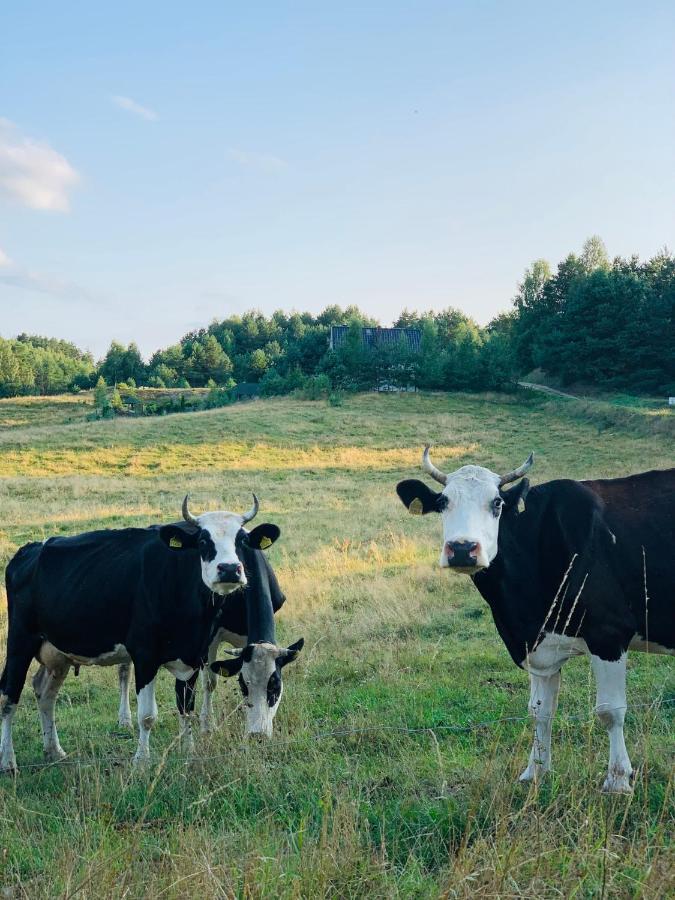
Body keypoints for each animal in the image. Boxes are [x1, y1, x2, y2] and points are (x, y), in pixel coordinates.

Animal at [0, 492, 304, 772]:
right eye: (203, 542)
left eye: (241, 540)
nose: (229, 569)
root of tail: (30, 549)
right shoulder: (146, 654)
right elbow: (148, 715)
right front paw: (142, 762)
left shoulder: (195, 653)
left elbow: (187, 706)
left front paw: (189, 752)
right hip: (20, 639)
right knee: (8, 695)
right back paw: (8, 762)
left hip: (56, 651)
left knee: (44, 692)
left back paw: (54, 751)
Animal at [398, 450, 672, 796]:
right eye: (443, 501)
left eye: (497, 503)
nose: (462, 548)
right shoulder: (540, 647)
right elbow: (540, 711)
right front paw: (536, 771)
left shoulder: (609, 634)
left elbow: (611, 711)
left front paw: (618, 780)